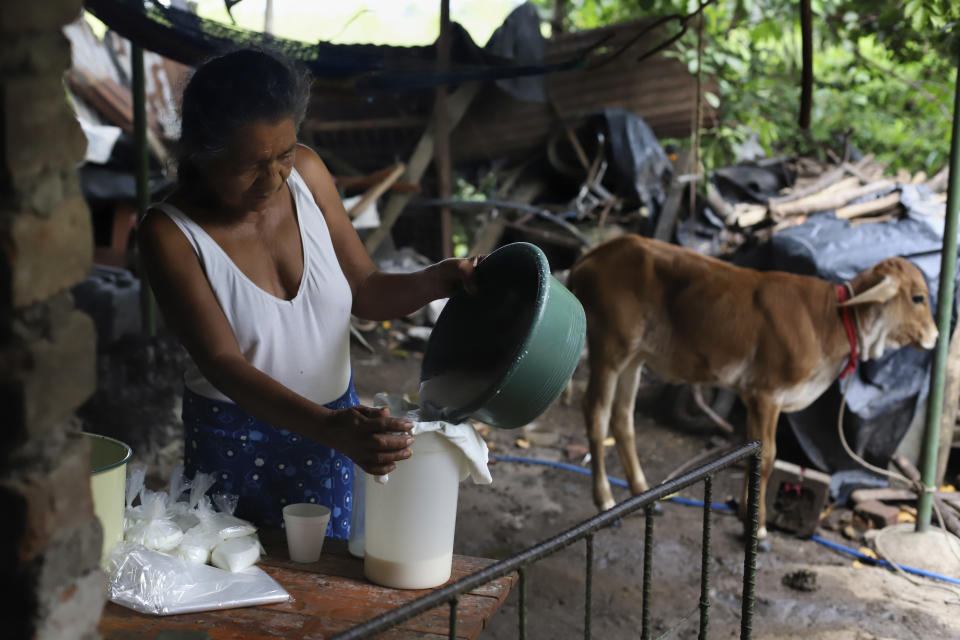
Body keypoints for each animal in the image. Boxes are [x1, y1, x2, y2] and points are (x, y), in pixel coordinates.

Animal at [568, 235, 936, 540]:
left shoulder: (755, 398)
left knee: (622, 418)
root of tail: (594, 255)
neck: (830, 321)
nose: (934, 336)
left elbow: (751, 451)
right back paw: (605, 501)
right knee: (596, 413)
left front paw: (747, 514)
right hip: (609, 348)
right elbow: (769, 456)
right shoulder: (766, 394)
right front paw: (757, 530)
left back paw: (642, 492)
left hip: (636, 358)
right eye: (918, 297)